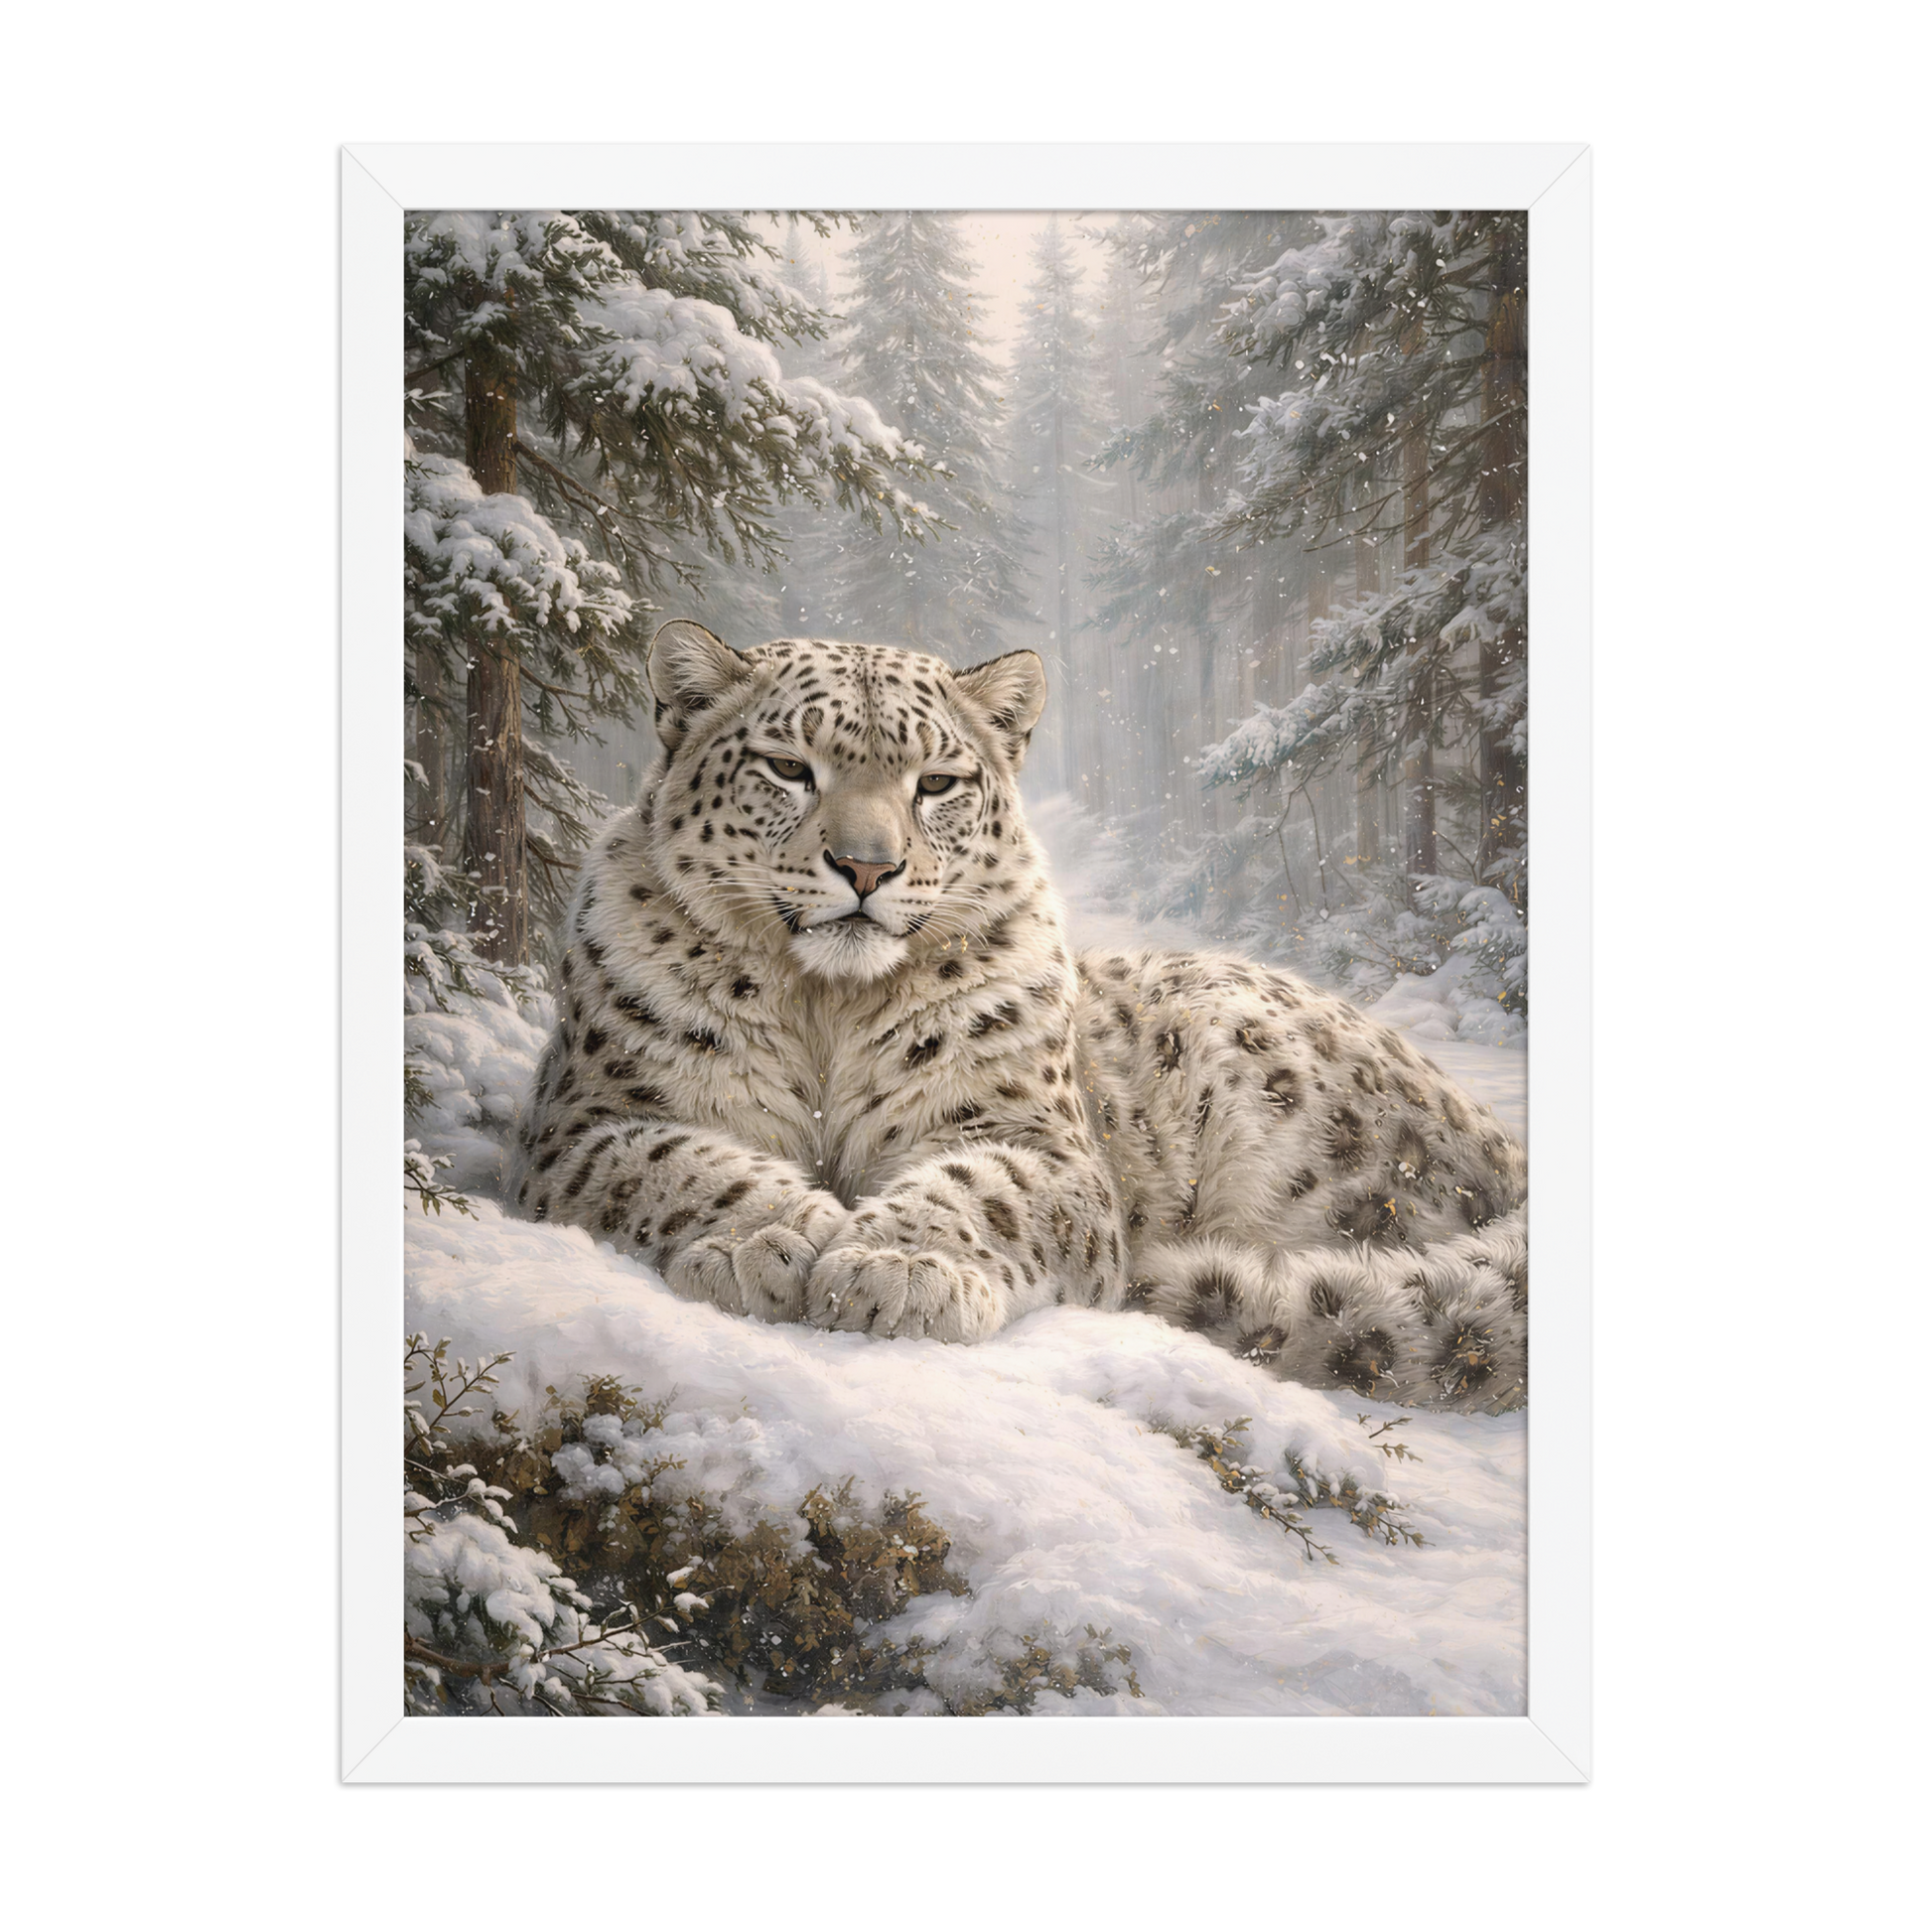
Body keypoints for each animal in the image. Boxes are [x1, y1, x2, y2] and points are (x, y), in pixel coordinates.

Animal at [505, 621, 1529, 1414]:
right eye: (789, 766)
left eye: (937, 782)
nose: (867, 866)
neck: (828, 1007)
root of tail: (1500, 1139)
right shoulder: (589, 1120)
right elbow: (682, 1164)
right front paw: (766, 1244)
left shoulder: (1035, 1139)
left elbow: (980, 1189)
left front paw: (895, 1269)